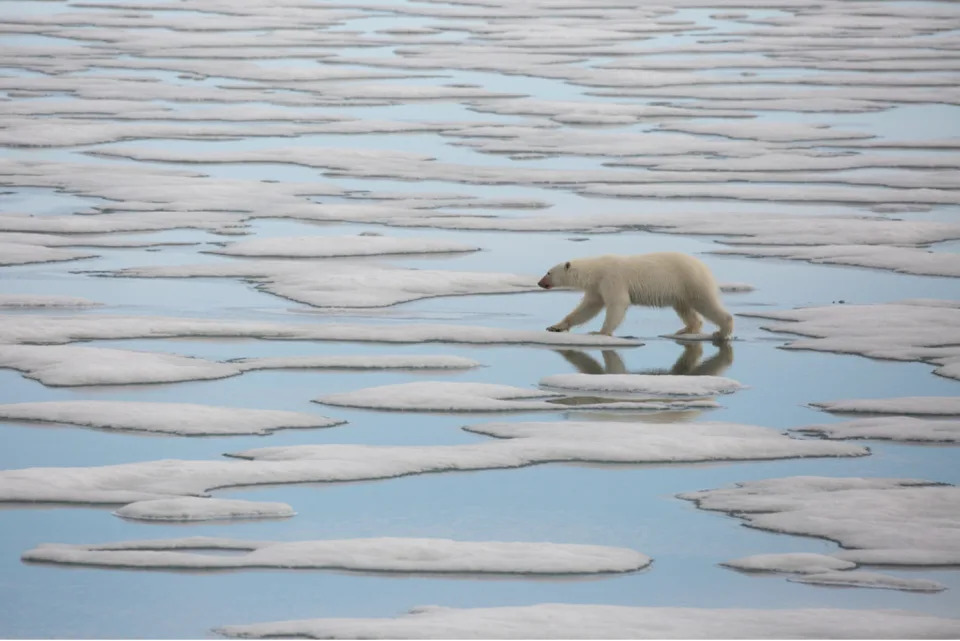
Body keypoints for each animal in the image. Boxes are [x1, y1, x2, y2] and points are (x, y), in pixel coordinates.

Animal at [536, 251, 732, 340]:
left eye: (548, 272)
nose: (539, 283)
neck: (596, 270)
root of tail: (705, 268)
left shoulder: (611, 279)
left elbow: (618, 303)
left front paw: (600, 332)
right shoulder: (597, 287)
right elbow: (587, 308)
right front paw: (555, 327)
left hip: (690, 281)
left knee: (705, 303)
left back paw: (722, 331)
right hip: (681, 291)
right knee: (685, 308)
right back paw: (686, 329)